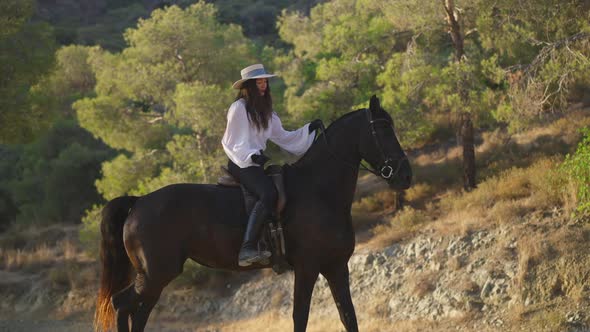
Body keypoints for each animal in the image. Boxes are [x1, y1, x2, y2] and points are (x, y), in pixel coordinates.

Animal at [96, 94, 412, 330]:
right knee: (122, 305)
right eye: (383, 130)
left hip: (155, 277)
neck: (319, 190)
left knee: (135, 312)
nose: (404, 175)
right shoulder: (308, 267)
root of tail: (138, 202)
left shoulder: (336, 267)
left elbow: (348, 317)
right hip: (156, 274)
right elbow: (300, 317)